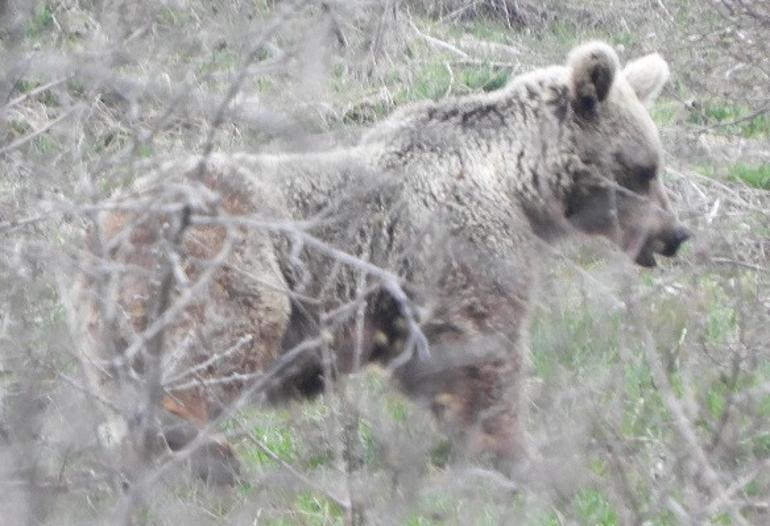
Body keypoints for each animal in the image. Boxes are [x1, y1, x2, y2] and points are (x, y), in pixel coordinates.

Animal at [76, 42, 688, 482]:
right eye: (646, 168)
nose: (675, 234)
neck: (515, 182)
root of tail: (113, 219)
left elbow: (432, 365)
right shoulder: (457, 240)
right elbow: (486, 346)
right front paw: (517, 453)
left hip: (103, 309)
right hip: (226, 255)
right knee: (222, 338)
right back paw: (201, 452)